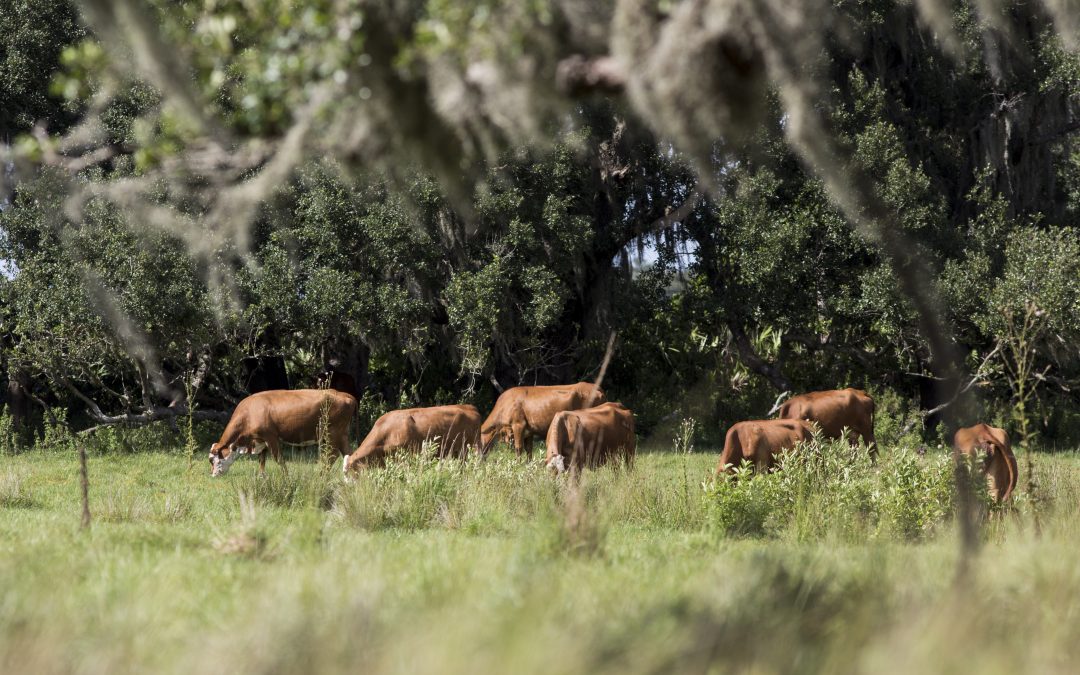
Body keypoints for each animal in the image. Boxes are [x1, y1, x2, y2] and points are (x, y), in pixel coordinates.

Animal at [203, 386, 354, 477]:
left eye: (211, 460)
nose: (212, 474)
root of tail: (343, 394)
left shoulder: (271, 437)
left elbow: (279, 459)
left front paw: (286, 476)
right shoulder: (260, 440)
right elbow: (262, 460)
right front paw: (262, 477)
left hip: (332, 432)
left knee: (332, 455)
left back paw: (322, 475)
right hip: (342, 434)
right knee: (348, 453)